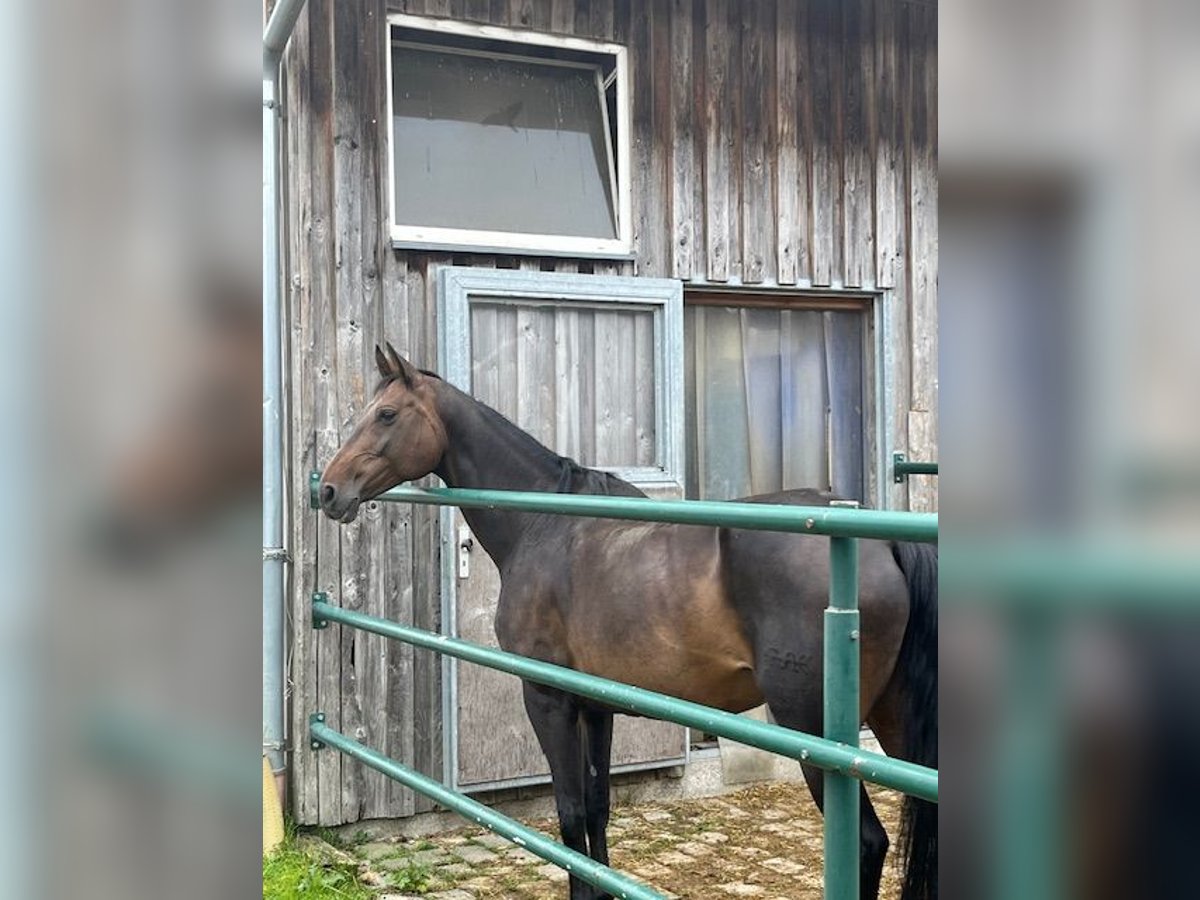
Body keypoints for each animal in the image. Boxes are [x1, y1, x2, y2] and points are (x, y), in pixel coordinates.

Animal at [319, 345, 936, 900]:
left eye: (386, 415)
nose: (328, 490)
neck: (545, 524)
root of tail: (882, 543)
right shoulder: (598, 705)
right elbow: (597, 809)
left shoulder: (548, 698)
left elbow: (569, 815)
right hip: (893, 721)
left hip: (816, 733)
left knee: (866, 843)